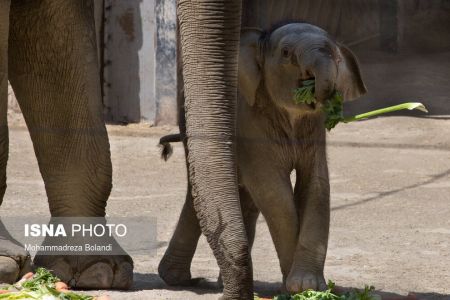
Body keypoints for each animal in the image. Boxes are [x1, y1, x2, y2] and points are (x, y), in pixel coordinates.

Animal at [158, 22, 366, 292]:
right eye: (286, 53)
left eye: (338, 57)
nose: (324, 93)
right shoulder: (250, 123)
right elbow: (274, 191)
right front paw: (295, 288)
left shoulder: (315, 131)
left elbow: (316, 186)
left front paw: (309, 287)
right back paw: (179, 278)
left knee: (245, 199)